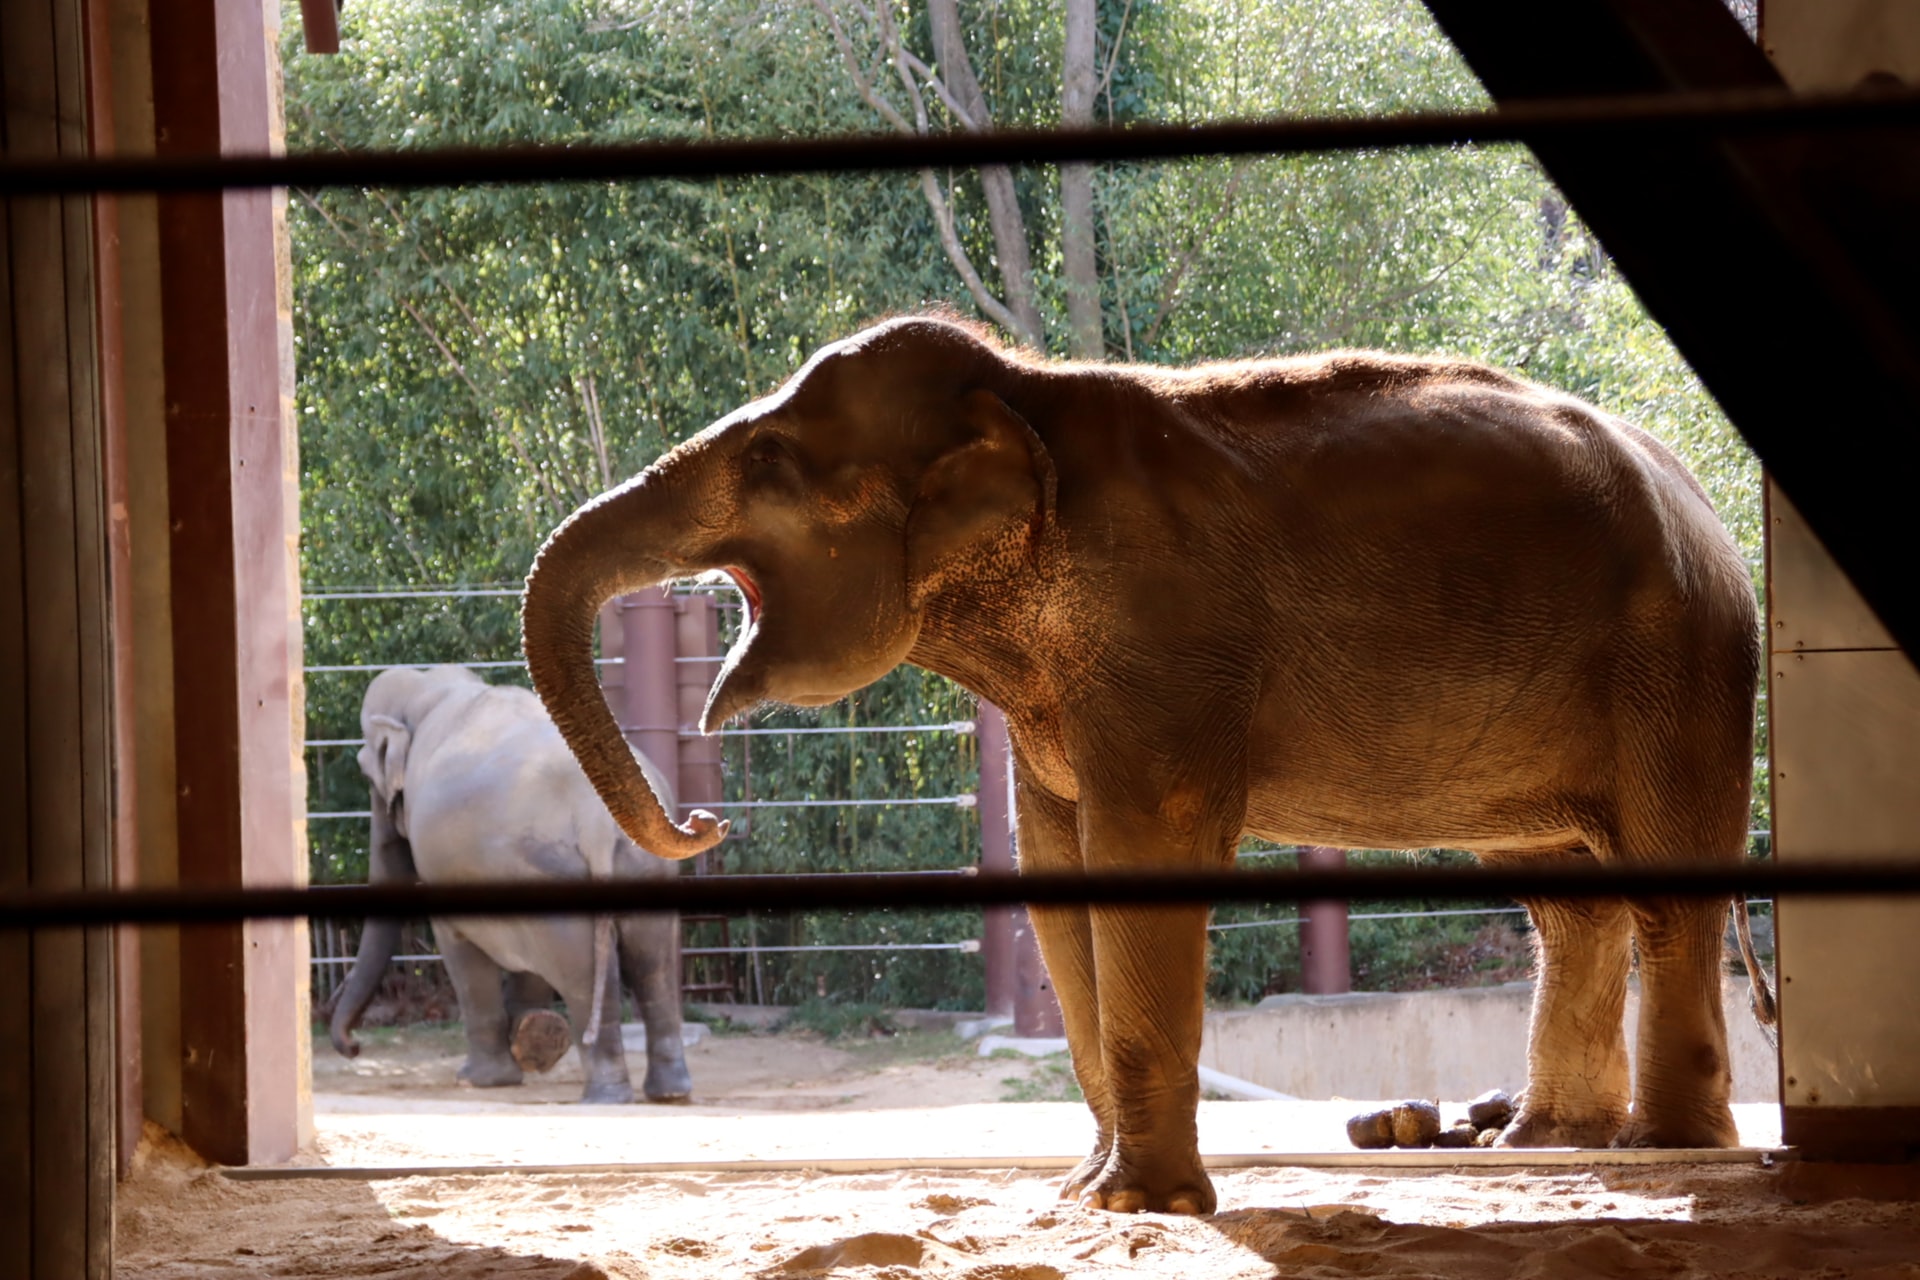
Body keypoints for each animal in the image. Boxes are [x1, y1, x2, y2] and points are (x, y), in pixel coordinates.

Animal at [326, 667, 695, 1105]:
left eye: (368, 776)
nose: (354, 1047)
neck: (430, 684)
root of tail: (597, 818)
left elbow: (463, 956)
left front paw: (479, 1079)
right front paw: (531, 1038)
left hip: (551, 871)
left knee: (583, 973)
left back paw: (603, 1096)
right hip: (642, 867)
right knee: (654, 962)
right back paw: (668, 1092)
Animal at [518, 314, 1758, 1220]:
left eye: (769, 459)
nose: (705, 821)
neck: (1024, 390)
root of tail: (1700, 496)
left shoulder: (1164, 642)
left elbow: (1144, 844)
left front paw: (1137, 1204)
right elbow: (1058, 863)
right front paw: (1083, 1192)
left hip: (1678, 662)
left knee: (1661, 889)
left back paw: (1662, 1146)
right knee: (1568, 897)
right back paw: (1549, 1138)